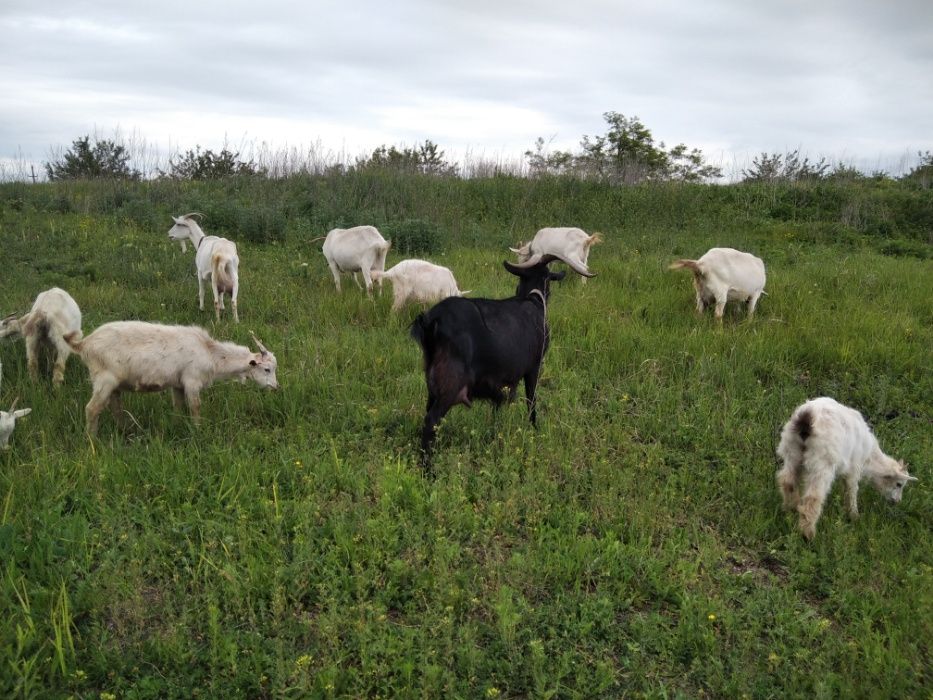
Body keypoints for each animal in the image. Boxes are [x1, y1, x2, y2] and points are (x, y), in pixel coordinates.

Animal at [65, 322, 277, 436]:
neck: (211, 353)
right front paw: (198, 432)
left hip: (113, 383)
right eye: (267, 369)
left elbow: (178, 407)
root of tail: (84, 344)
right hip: (104, 378)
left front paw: (177, 427)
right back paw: (92, 441)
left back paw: (125, 431)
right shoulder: (192, 381)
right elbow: (195, 407)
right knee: (92, 409)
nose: (276, 388)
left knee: (115, 407)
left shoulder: (178, 384)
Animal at [410, 254, 593, 467]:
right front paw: (534, 430)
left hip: (432, 381)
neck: (533, 299)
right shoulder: (534, 366)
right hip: (450, 382)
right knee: (431, 421)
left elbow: (497, 410)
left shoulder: (499, 383)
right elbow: (531, 400)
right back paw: (428, 469)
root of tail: (431, 321)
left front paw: (495, 436)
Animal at [776, 397, 917, 540]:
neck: (869, 456)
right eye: (899, 484)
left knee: (787, 482)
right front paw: (854, 516)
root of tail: (807, 417)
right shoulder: (854, 468)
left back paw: (790, 511)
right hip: (822, 461)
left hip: (791, 450)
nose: (897, 502)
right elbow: (851, 490)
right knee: (813, 497)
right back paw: (808, 534)